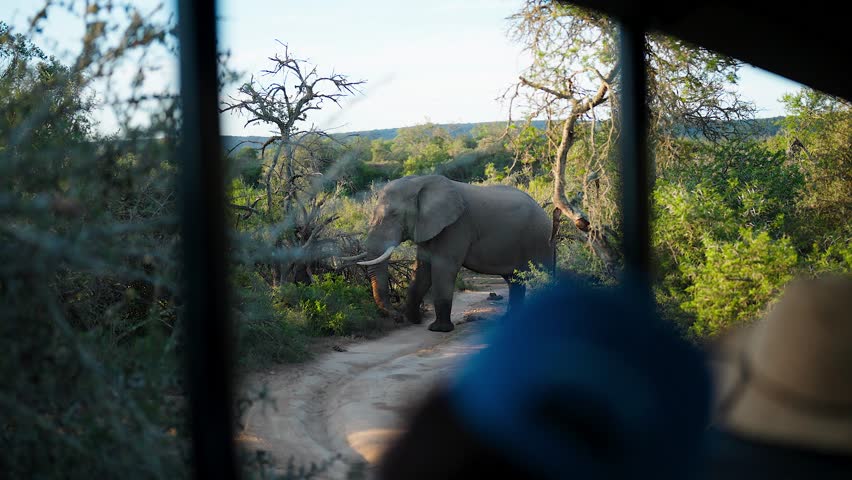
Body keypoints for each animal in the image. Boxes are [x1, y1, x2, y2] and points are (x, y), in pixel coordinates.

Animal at [347, 175, 559, 332]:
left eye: (394, 215)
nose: (397, 317)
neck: (420, 182)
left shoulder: (456, 226)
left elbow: (442, 268)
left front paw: (438, 329)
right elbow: (422, 270)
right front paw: (414, 320)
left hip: (540, 240)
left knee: (543, 277)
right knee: (515, 280)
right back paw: (508, 321)